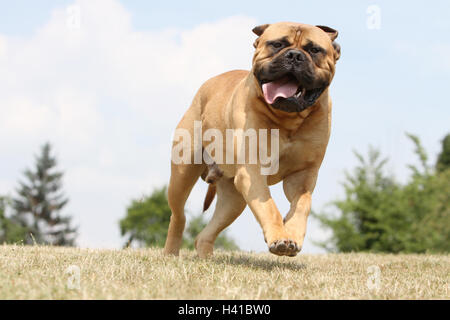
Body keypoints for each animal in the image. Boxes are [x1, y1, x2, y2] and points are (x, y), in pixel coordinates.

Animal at [163, 21, 340, 258]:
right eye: (277, 44)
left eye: (314, 49)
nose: (294, 55)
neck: (287, 119)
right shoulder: (252, 171)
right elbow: (269, 206)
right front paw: (279, 237)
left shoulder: (302, 175)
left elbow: (302, 205)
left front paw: (292, 234)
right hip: (182, 174)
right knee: (178, 215)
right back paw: (171, 252)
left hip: (234, 199)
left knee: (207, 231)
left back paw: (206, 257)